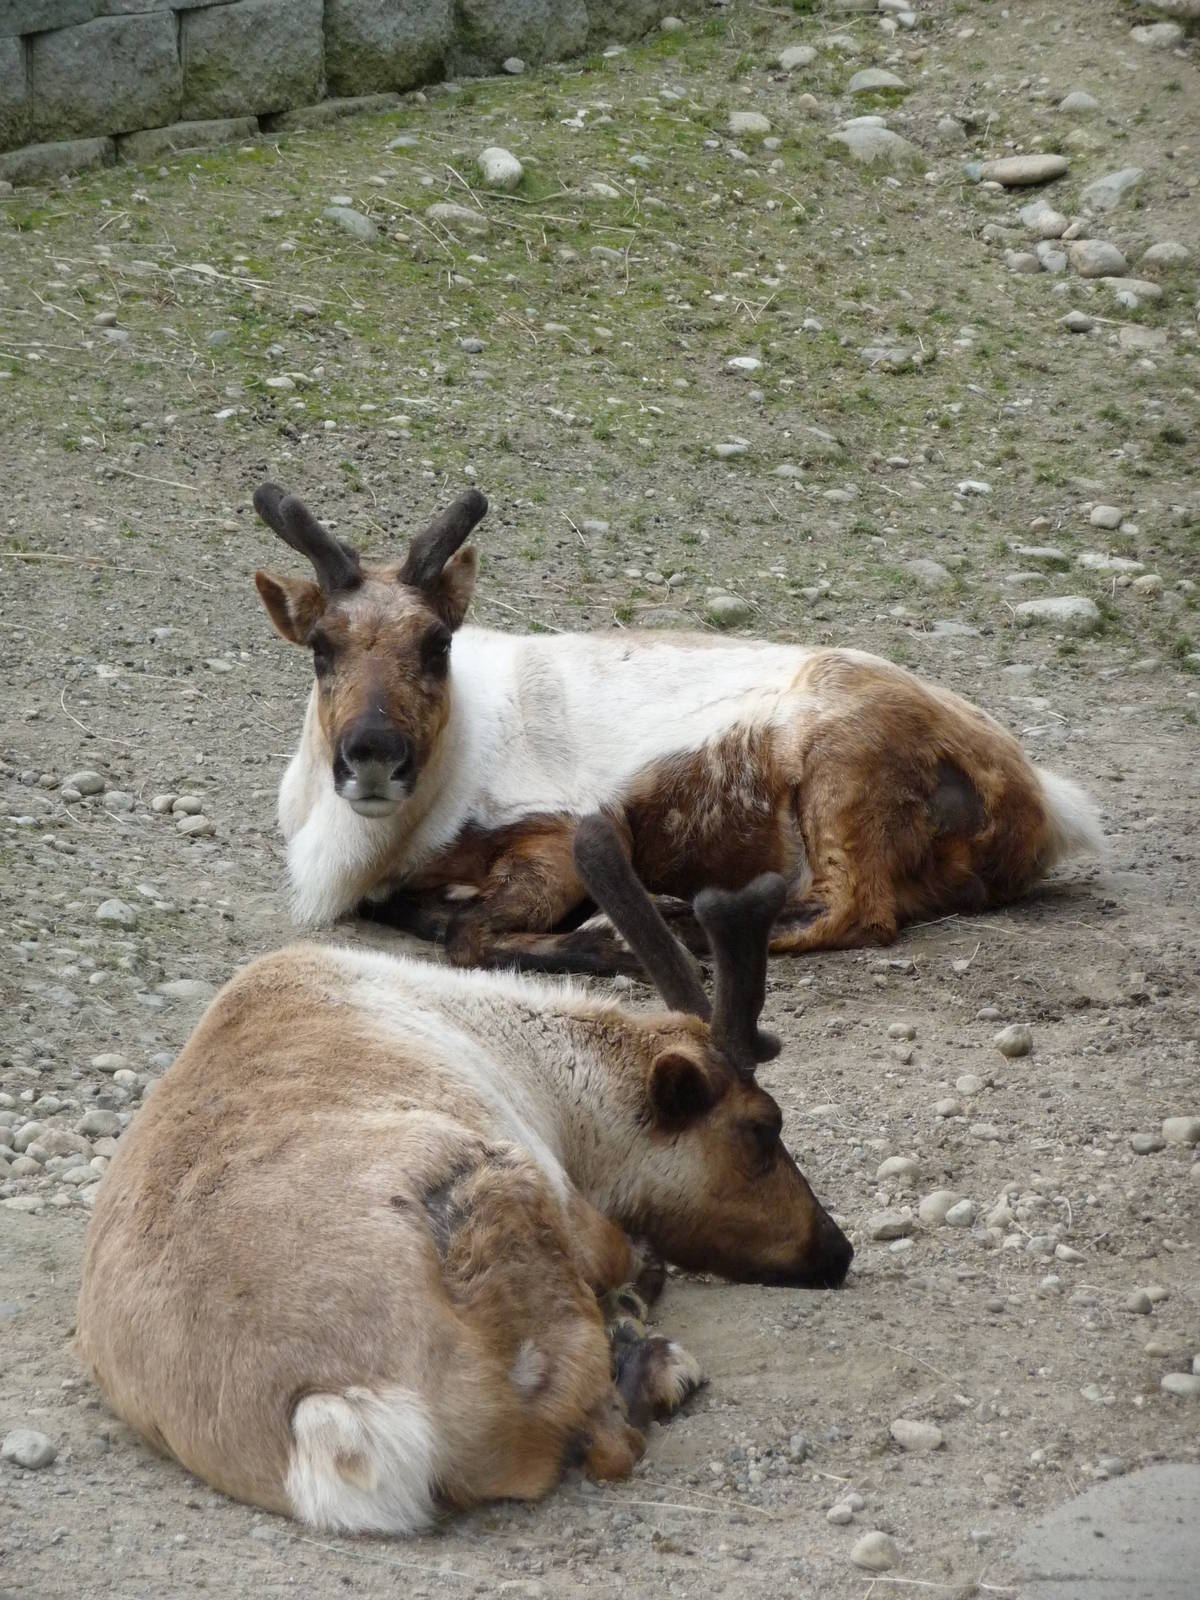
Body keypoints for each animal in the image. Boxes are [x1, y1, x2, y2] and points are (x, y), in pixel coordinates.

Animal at [75, 814, 853, 1534]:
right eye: (763, 1127)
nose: (836, 1250)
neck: (547, 1079)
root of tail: (338, 1422)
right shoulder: (576, 1207)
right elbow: (632, 1257)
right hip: (500, 1192)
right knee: (608, 1442)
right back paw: (659, 1360)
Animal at [251, 482, 1103, 976]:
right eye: (321, 646)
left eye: (437, 643)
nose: (373, 755)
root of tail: (1042, 798)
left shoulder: (566, 833)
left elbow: (472, 935)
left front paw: (604, 936)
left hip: (841, 770)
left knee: (853, 911)